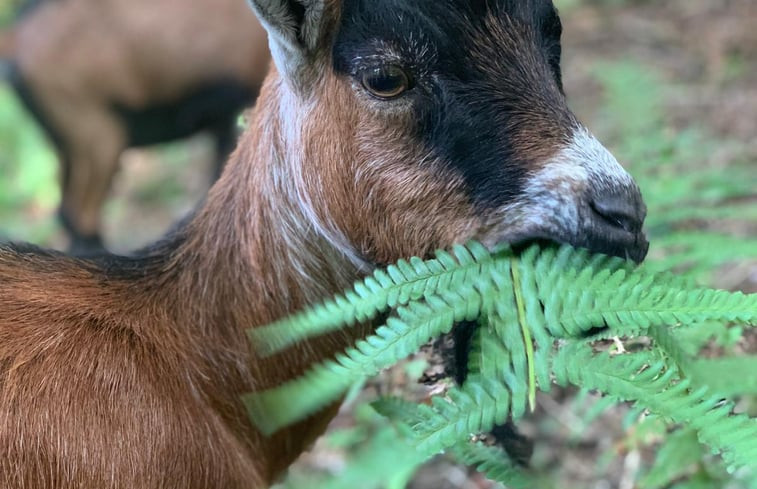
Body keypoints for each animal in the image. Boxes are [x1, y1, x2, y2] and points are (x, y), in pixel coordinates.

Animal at [0, 0, 272, 252]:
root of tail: (16, 37)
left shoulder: (224, 119)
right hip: (99, 135)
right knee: (79, 213)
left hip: (69, 143)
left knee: (67, 212)